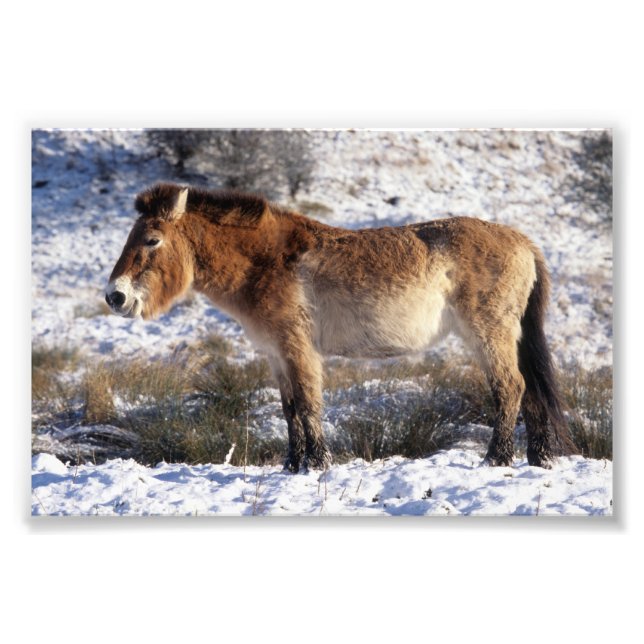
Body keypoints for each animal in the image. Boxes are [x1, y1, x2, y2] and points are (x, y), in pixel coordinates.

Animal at [105, 183, 577, 472]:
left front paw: (317, 464)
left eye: (151, 240)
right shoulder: (276, 354)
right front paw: (292, 465)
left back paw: (496, 459)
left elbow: (309, 404)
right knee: (531, 391)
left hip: (489, 334)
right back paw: (538, 459)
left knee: (510, 388)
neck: (263, 262)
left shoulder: (298, 349)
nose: (115, 297)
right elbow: (290, 409)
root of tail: (523, 242)